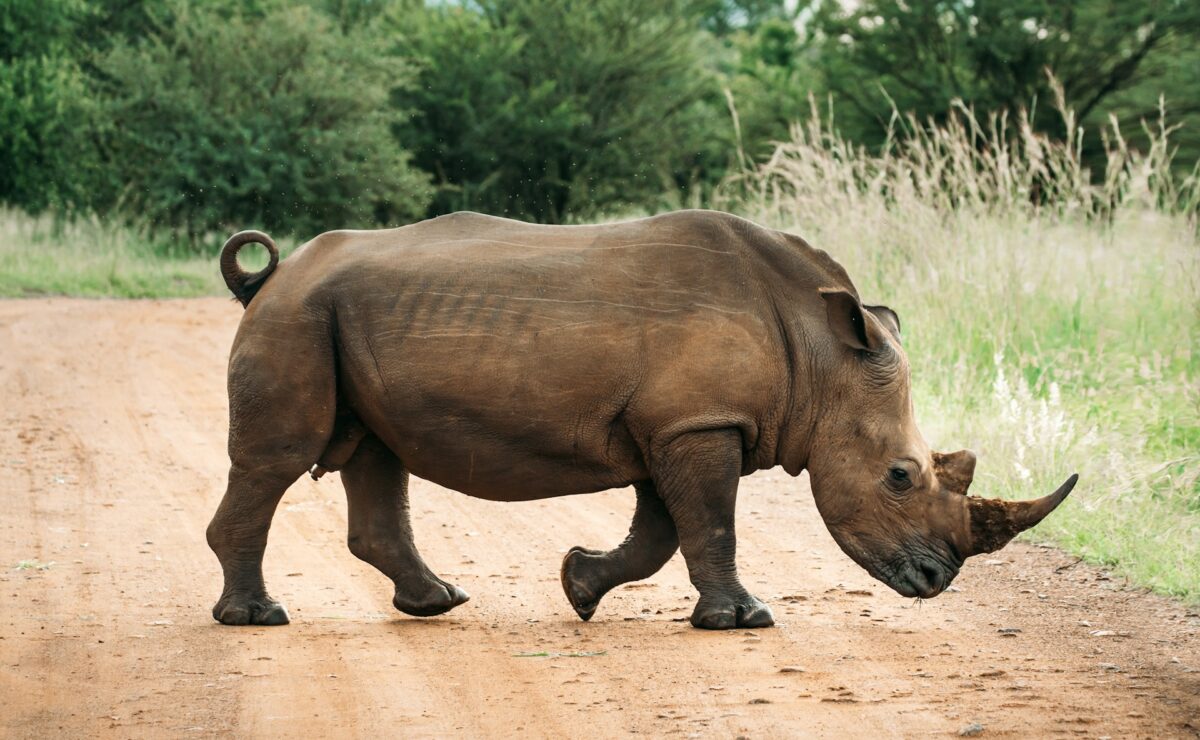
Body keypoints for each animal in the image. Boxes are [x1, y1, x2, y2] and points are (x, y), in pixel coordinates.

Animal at [207, 210, 1077, 630]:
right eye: (900, 476)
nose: (936, 582)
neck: (822, 355)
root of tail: (270, 278)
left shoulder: (678, 424)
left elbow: (663, 532)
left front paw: (579, 587)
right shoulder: (699, 424)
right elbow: (711, 526)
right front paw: (744, 621)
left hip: (335, 320)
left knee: (377, 454)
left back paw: (439, 603)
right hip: (298, 319)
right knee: (275, 462)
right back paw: (258, 619)